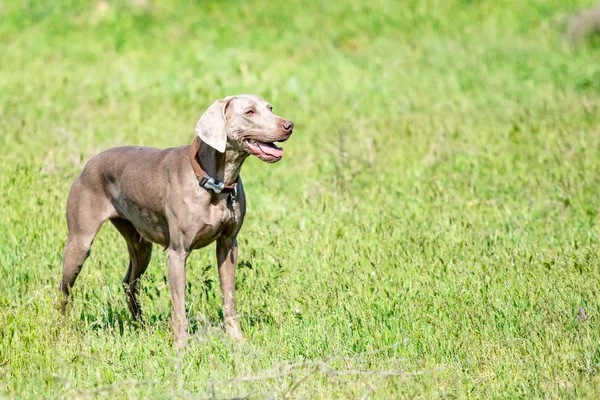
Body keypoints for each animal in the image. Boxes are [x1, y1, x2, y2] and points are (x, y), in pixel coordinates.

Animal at [58, 95, 296, 348]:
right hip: (80, 242)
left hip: (141, 246)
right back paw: (60, 329)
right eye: (249, 112)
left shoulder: (228, 245)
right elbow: (179, 306)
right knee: (63, 289)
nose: (289, 125)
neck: (215, 182)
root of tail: (88, 164)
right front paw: (181, 346)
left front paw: (237, 340)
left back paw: (141, 327)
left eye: (270, 108)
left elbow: (229, 298)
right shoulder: (177, 253)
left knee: (129, 282)